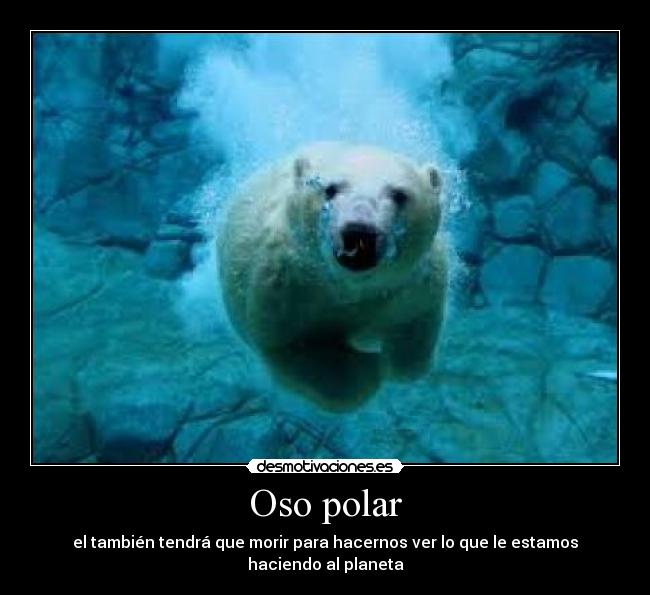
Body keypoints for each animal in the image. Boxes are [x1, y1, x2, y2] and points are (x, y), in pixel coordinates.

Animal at [218, 142, 447, 410]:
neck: (349, 288)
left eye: (399, 194)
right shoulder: (284, 290)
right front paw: (369, 370)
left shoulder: (413, 285)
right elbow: (297, 350)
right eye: (330, 189)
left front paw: (393, 364)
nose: (359, 232)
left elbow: (414, 326)